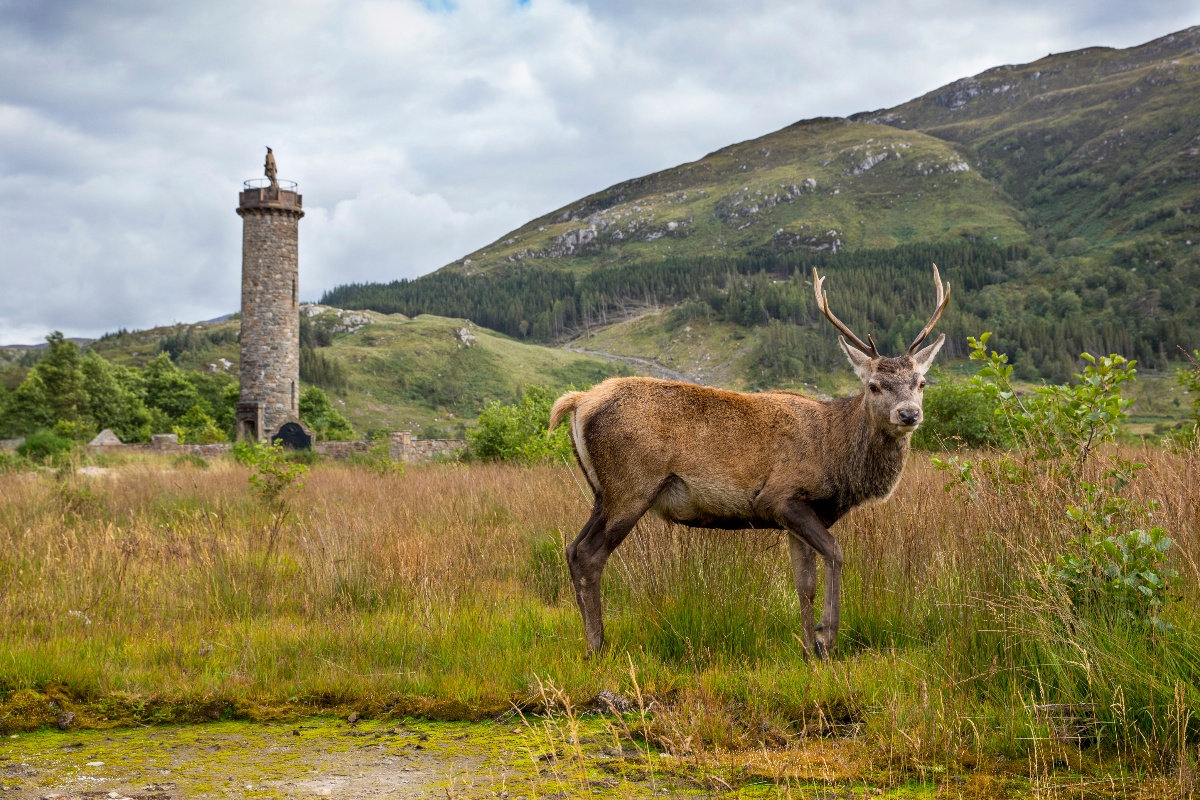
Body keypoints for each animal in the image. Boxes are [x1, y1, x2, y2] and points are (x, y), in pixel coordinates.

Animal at [548, 264, 950, 658]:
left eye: (922, 382)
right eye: (874, 385)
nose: (909, 414)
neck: (836, 455)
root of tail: (579, 401)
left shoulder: (799, 515)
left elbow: (804, 583)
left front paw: (809, 649)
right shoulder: (781, 496)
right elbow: (835, 555)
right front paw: (827, 640)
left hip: (603, 493)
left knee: (572, 550)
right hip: (631, 486)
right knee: (588, 554)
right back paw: (597, 646)